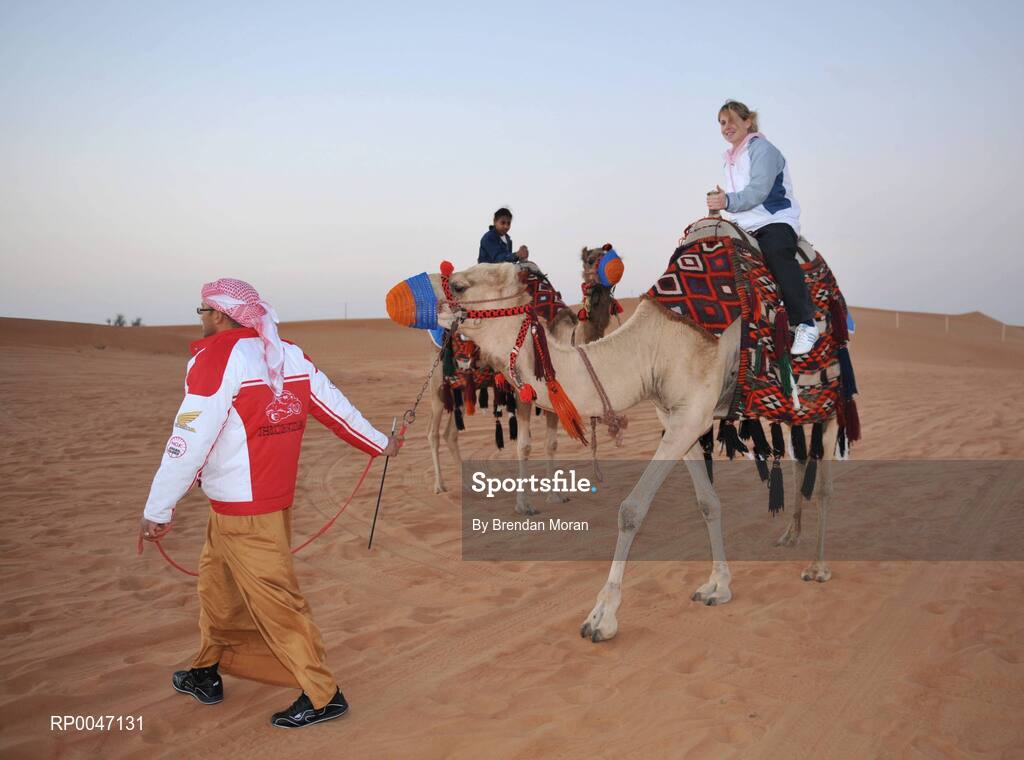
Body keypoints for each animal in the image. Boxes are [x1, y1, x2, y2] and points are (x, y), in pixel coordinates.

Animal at [426, 248, 621, 516]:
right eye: (590, 259)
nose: (603, 281)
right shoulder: (523, 393)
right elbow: (524, 446)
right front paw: (524, 504)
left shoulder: (554, 399)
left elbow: (551, 444)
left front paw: (556, 495)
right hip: (437, 387)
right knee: (434, 434)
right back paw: (439, 486)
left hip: (463, 388)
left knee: (450, 434)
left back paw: (467, 485)